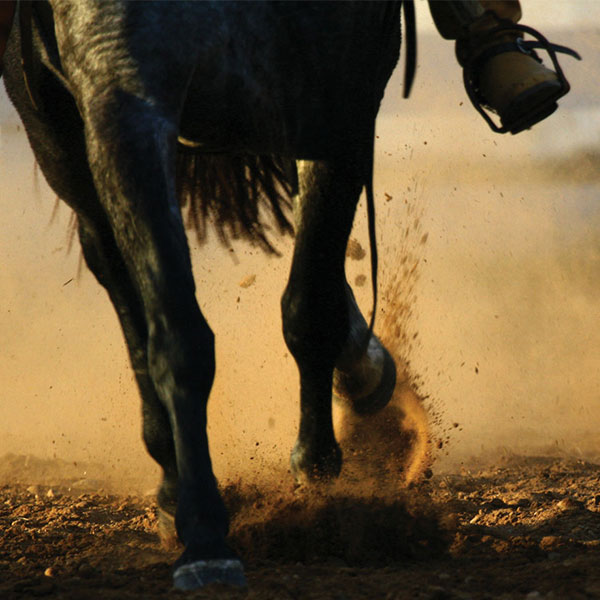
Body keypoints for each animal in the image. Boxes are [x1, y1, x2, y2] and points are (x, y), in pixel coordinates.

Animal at [2, 0, 412, 588]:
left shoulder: (342, 90)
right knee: (118, 277)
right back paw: (173, 483)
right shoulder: (120, 97)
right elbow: (177, 337)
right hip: (65, 146)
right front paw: (203, 535)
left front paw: (317, 472)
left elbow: (309, 305)